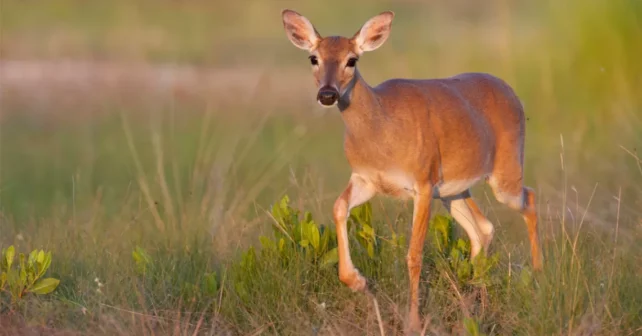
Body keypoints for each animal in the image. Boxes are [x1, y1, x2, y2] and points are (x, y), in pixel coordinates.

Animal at [278, 7, 540, 334]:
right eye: (313, 57)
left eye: (352, 59)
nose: (327, 94)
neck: (382, 128)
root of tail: (511, 91)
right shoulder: (366, 178)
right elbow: (338, 207)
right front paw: (359, 281)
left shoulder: (422, 183)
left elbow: (414, 255)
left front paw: (413, 321)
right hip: (454, 190)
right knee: (483, 228)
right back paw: (475, 302)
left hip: (504, 173)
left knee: (529, 199)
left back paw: (537, 279)